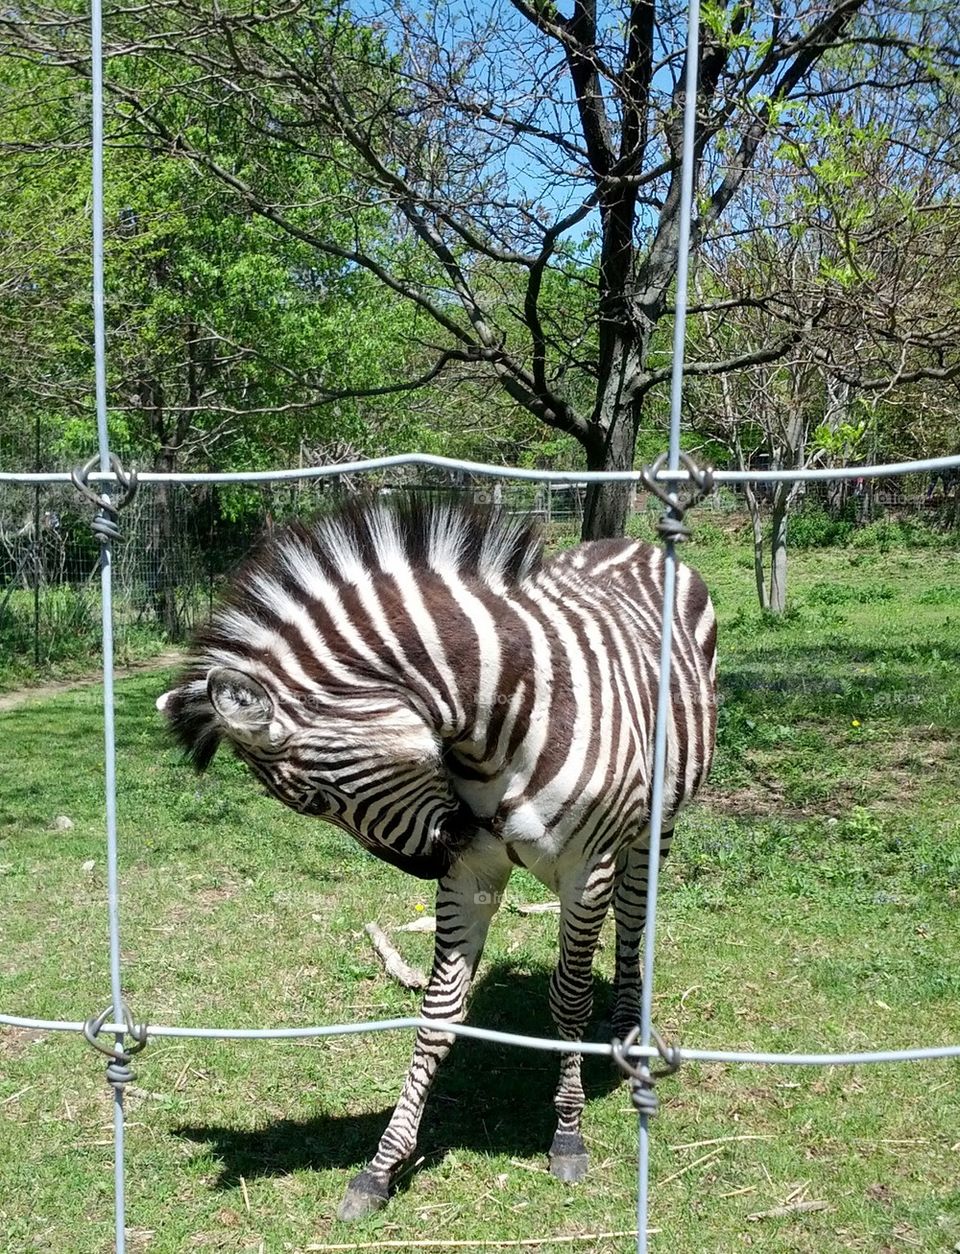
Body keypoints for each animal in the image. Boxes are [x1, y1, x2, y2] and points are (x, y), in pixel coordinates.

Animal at [157, 496, 717, 1220]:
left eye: (312, 799)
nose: (428, 865)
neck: (503, 719)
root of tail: (633, 543)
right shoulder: (472, 872)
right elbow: (437, 1013)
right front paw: (382, 1165)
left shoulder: (582, 868)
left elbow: (567, 999)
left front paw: (567, 1136)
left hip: (656, 825)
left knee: (633, 914)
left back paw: (625, 1028)